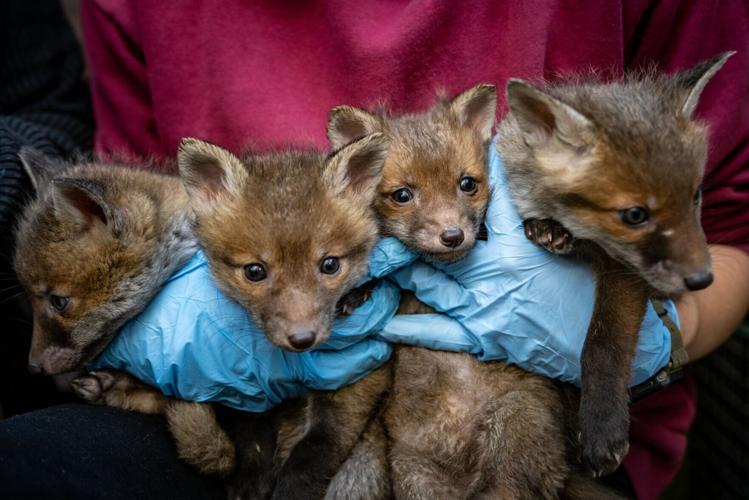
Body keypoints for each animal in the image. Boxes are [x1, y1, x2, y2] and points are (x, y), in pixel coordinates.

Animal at [497, 52, 733, 475]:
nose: (703, 279)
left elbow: (603, 344)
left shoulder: (626, 273)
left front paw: (601, 427)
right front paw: (546, 229)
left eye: (695, 195)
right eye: (635, 215)